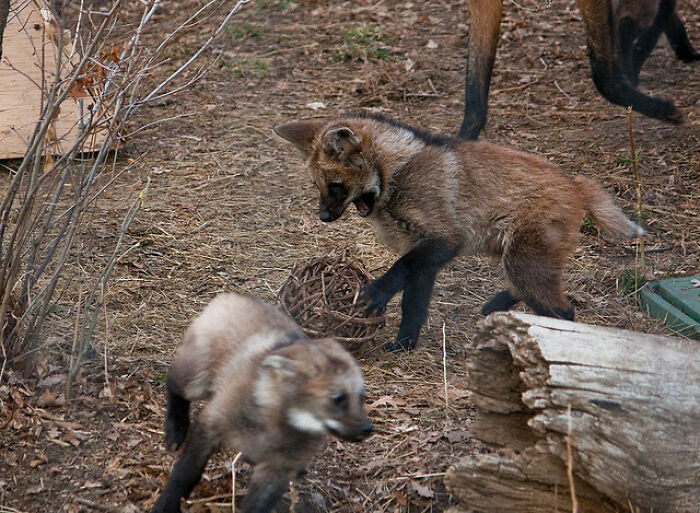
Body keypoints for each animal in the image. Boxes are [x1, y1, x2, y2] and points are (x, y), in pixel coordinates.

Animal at [151, 293, 372, 513]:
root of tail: (232, 295)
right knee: (173, 382)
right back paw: (175, 430)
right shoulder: (210, 425)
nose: (368, 429)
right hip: (196, 381)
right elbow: (186, 472)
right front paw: (166, 504)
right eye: (338, 398)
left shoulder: (277, 470)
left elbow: (257, 505)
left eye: (360, 397)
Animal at [275, 111, 643, 351]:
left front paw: (374, 294)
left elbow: (400, 270)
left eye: (336, 186)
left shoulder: (443, 241)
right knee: (529, 291)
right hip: (520, 259)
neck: (396, 173)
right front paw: (404, 345)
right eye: (318, 186)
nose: (323, 216)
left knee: (562, 312)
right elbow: (413, 305)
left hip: (523, 260)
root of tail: (577, 184)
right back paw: (497, 306)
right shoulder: (424, 253)